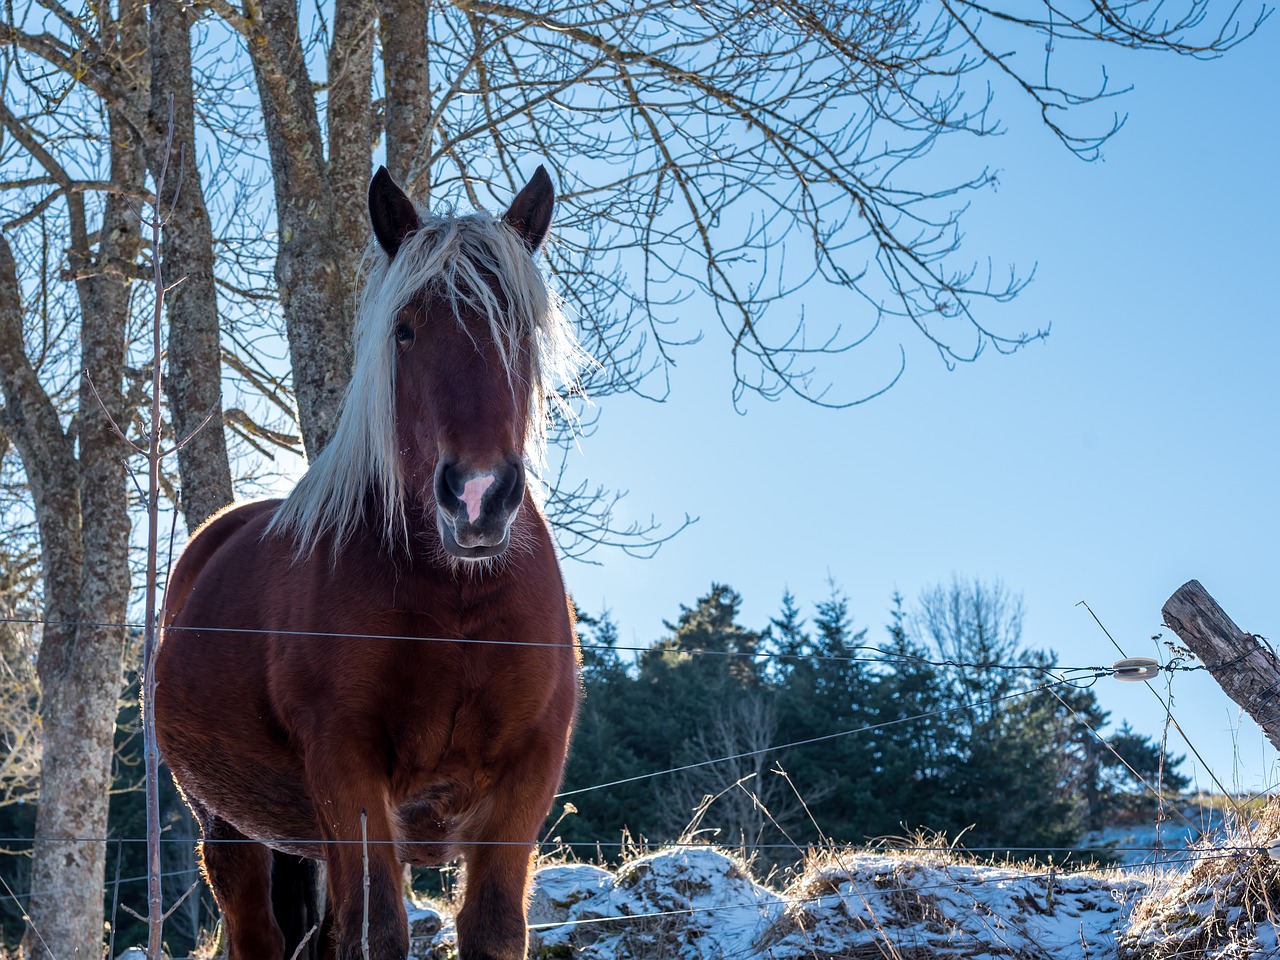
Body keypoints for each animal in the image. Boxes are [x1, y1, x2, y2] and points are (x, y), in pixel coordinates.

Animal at [154, 168, 586, 960]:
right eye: (405, 329)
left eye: (520, 328)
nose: (477, 496)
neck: (456, 598)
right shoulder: (347, 768)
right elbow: (377, 932)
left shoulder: (527, 775)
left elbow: (492, 930)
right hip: (229, 833)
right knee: (259, 933)